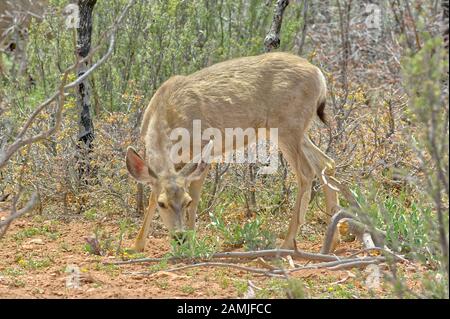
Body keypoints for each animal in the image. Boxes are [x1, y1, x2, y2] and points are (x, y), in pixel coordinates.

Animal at [125, 52, 340, 252]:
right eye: (163, 204)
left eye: (185, 202)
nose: (180, 237)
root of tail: (319, 75)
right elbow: (151, 196)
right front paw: (136, 245)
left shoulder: (203, 151)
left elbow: (196, 196)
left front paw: (192, 242)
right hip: (295, 130)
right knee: (325, 163)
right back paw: (333, 240)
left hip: (287, 126)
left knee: (306, 172)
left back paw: (288, 243)